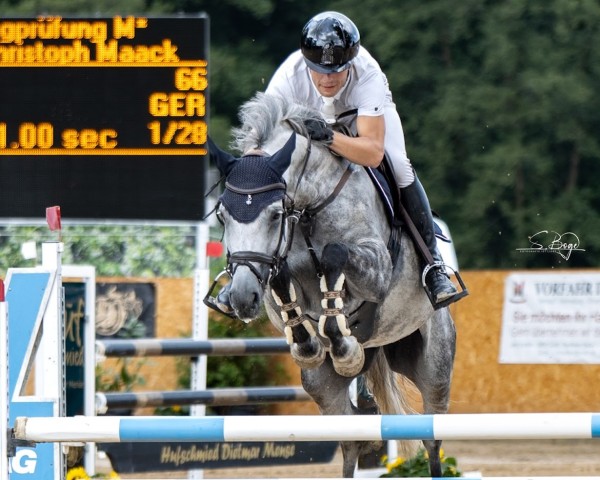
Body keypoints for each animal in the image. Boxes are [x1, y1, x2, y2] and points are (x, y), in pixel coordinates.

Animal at [206, 92, 454, 478]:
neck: (309, 205)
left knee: (432, 438)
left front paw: (342, 340)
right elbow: (285, 280)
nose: (243, 298)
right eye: (221, 214)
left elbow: (333, 255)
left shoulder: (377, 268)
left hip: (434, 366)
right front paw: (311, 341)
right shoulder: (276, 268)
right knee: (351, 439)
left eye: (275, 214)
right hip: (323, 385)